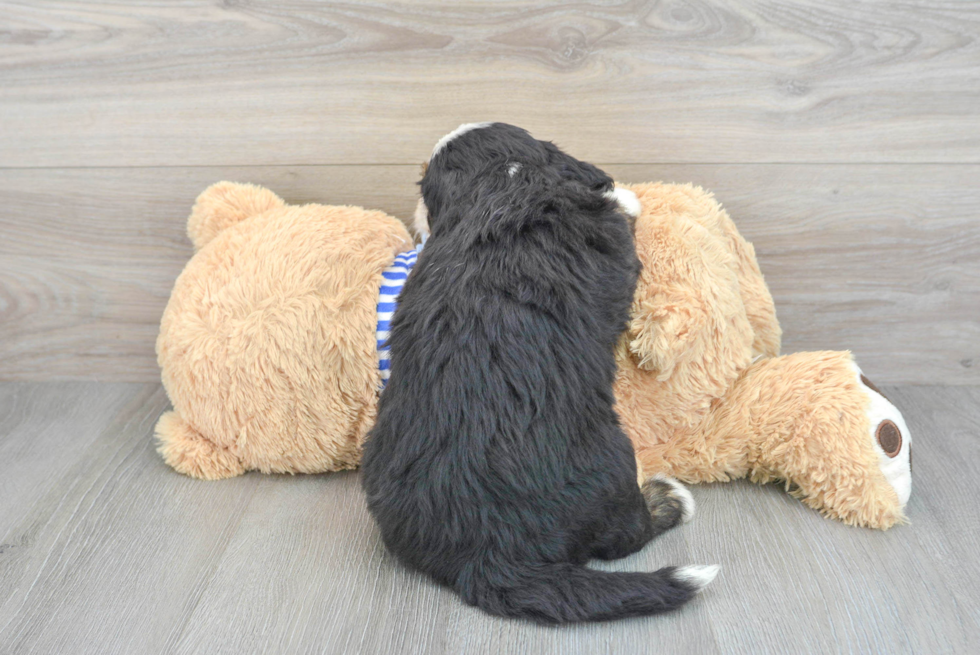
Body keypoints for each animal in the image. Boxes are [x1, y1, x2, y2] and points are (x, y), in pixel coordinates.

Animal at [364, 124, 716, 624]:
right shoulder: (613, 240)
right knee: (626, 534)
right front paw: (628, 196)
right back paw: (668, 498)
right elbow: (621, 214)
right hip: (612, 463)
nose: (417, 219)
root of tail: (489, 554)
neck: (504, 182)